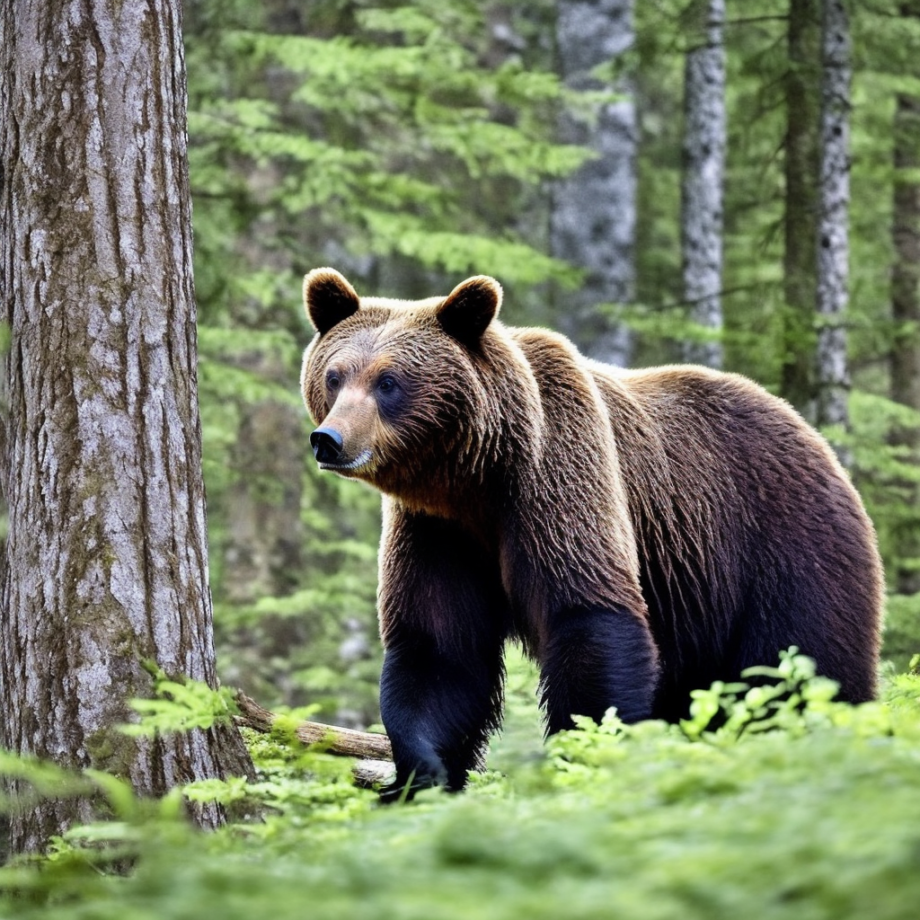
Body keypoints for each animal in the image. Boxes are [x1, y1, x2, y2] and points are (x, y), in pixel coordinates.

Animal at [299, 267, 884, 801]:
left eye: (388, 381)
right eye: (335, 375)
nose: (329, 439)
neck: (478, 479)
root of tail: (816, 438)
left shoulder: (559, 475)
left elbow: (589, 618)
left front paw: (583, 757)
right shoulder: (440, 531)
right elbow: (439, 651)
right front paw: (420, 777)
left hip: (784, 543)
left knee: (801, 666)